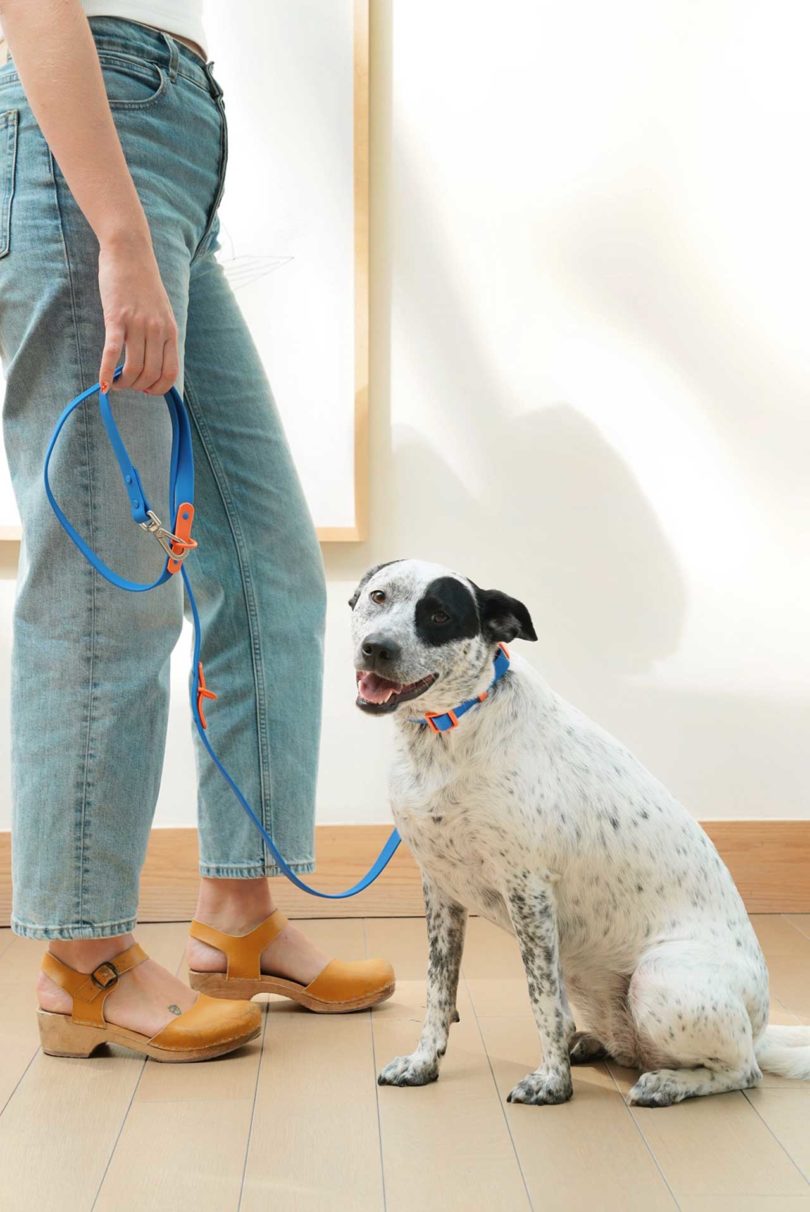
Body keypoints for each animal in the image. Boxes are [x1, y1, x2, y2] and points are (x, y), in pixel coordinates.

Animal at [351, 557, 810, 1110]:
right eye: (378, 597)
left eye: (439, 615)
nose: (376, 647)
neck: (450, 729)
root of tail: (760, 1026)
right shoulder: (440, 891)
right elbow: (439, 993)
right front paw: (423, 1063)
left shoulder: (528, 891)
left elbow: (543, 1002)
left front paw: (552, 1083)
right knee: (633, 1045)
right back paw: (593, 1044)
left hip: (657, 980)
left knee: (743, 1071)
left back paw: (666, 1083)